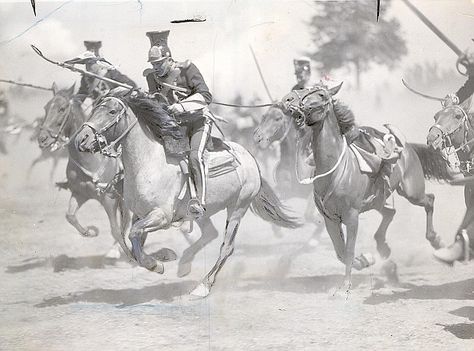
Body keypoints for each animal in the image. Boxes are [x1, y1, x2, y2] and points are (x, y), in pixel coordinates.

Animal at [38, 83, 123, 258]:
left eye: (62, 109)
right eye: (46, 107)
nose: (42, 139)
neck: (91, 160)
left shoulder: (109, 199)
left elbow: (115, 229)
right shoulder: (79, 194)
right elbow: (70, 216)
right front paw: (90, 232)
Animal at [76, 91, 302, 296]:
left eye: (112, 111)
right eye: (94, 109)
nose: (81, 139)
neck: (149, 164)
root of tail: (250, 158)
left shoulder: (161, 216)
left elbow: (133, 235)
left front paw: (156, 263)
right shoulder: (140, 215)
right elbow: (133, 243)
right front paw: (163, 256)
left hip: (238, 207)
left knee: (226, 247)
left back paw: (203, 286)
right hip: (202, 212)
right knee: (210, 233)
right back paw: (185, 263)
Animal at [282, 83, 452, 294]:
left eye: (321, 94)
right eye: (305, 91)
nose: (291, 103)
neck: (335, 169)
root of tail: (407, 147)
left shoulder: (352, 216)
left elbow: (348, 250)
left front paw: (345, 286)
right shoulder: (330, 219)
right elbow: (340, 251)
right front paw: (365, 260)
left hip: (412, 191)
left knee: (429, 200)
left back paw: (435, 241)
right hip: (378, 199)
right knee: (390, 213)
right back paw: (384, 248)